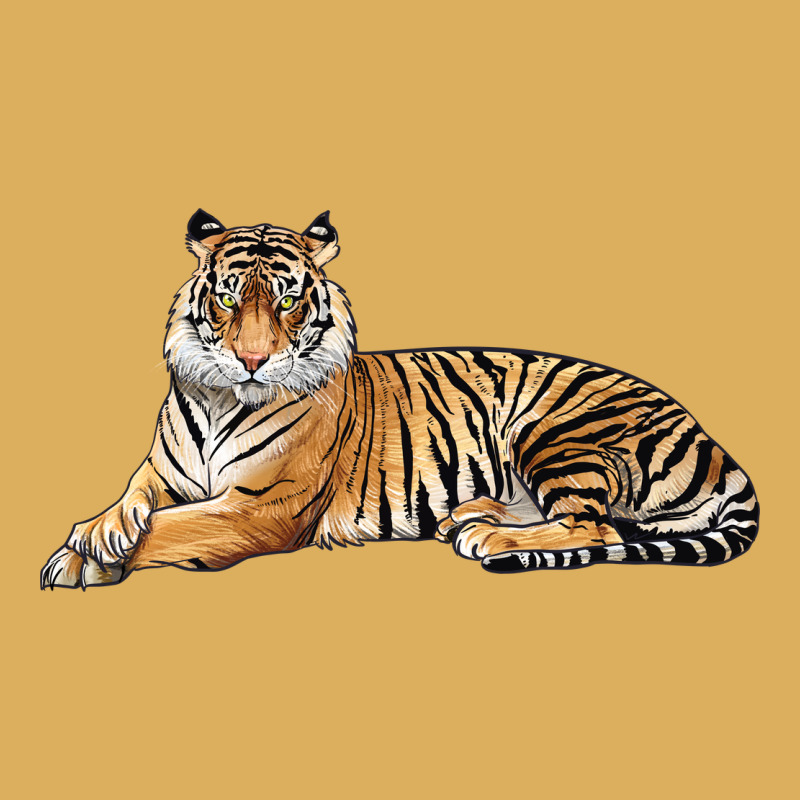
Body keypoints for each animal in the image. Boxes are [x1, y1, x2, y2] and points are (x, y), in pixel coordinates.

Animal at [41, 209, 759, 589]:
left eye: (287, 299)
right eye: (226, 298)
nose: (252, 360)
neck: (220, 400)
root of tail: (712, 439)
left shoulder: (262, 508)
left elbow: (173, 526)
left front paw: (85, 559)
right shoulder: (162, 473)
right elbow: (132, 501)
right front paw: (94, 537)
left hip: (555, 431)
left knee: (595, 524)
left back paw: (487, 538)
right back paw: (468, 517)